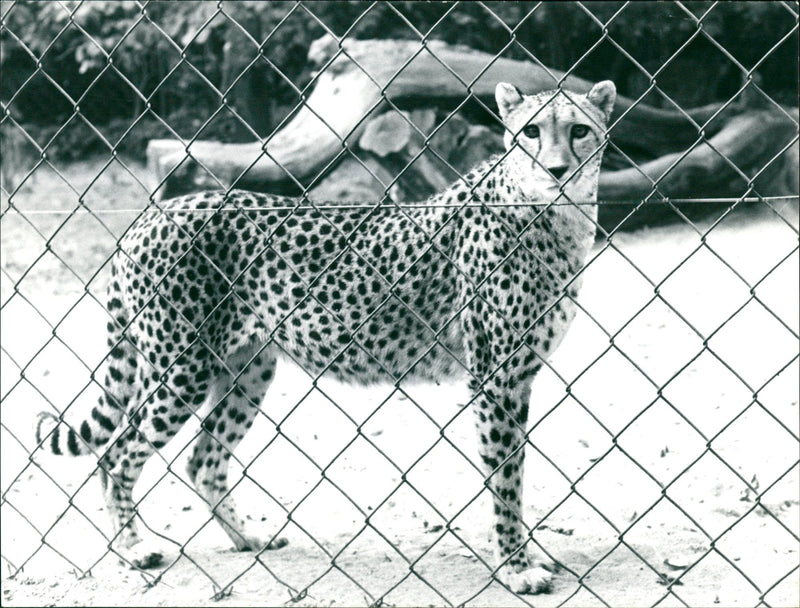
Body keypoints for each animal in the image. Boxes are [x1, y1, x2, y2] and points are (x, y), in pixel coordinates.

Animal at [35, 79, 616, 594]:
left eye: (579, 130)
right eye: (531, 132)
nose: (557, 169)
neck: (554, 216)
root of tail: (155, 212)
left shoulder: (518, 376)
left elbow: (514, 473)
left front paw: (528, 555)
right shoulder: (495, 378)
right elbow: (506, 479)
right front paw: (516, 569)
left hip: (246, 369)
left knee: (202, 460)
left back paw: (248, 538)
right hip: (181, 370)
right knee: (116, 454)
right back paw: (133, 549)